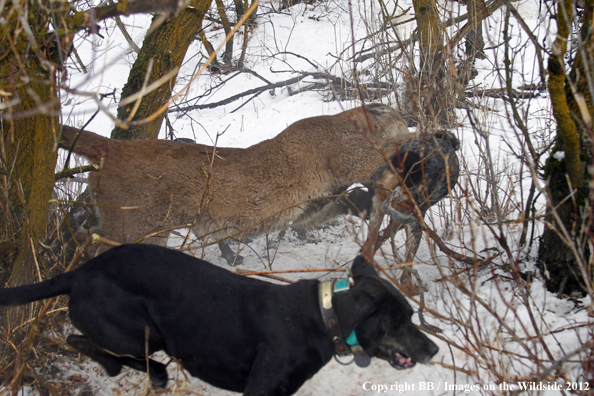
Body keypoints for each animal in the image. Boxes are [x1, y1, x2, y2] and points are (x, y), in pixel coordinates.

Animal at [0, 244, 434, 392]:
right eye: (401, 320)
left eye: (412, 316)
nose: (434, 348)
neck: (321, 316)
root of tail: (79, 272)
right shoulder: (260, 390)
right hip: (139, 331)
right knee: (83, 341)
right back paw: (151, 373)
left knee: (80, 341)